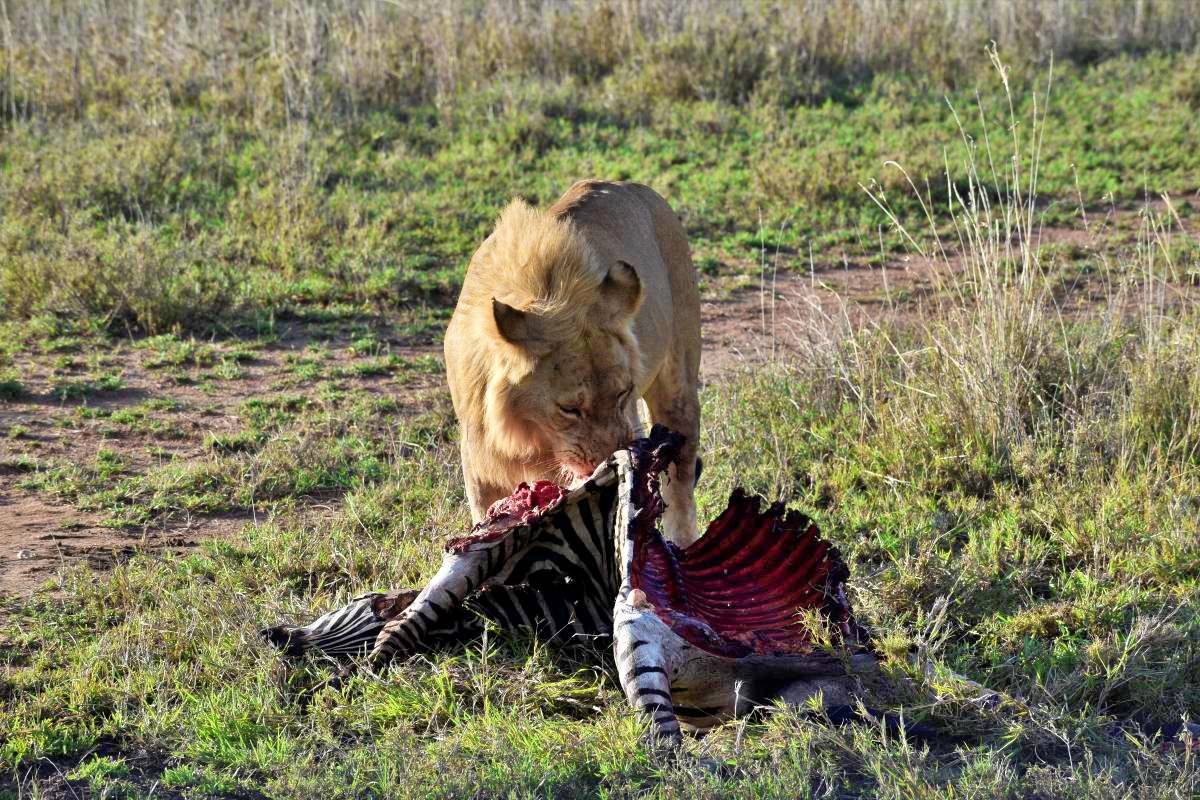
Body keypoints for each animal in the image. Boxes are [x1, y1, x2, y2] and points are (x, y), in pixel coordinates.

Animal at [446, 179, 700, 544]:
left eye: (623, 394)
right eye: (569, 409)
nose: (613, 464)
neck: (529, 436)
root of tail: (632, 185)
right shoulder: (481, 467)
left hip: (679, 386)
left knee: (681, 487)